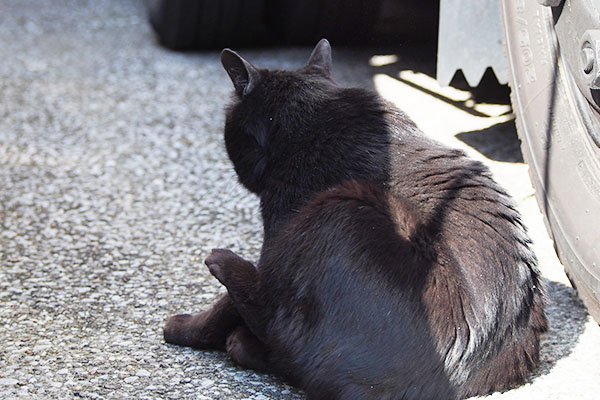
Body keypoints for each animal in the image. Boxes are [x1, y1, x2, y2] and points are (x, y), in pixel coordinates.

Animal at [164, 38, 548, 400]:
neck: (309, 120)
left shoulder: (280, 233)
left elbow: (228, 305)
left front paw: (184, 327)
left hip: (343, 203)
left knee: (278, 324)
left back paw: (225, 271)